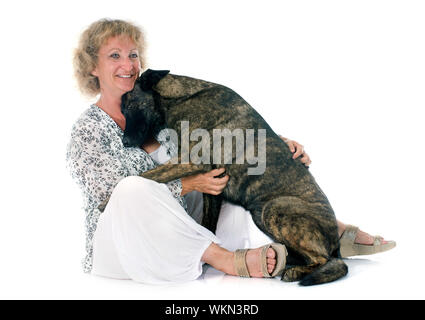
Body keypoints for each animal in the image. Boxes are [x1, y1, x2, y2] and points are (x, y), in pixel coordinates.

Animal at [99, 69, 348, 284]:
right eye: (122, 109)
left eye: (131, 105)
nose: (125, 142)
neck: (181, 98)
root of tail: (336, 243)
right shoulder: (213, 188)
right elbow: (208, 228)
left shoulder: (190, 161)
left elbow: (146, 175)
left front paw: (105, 202)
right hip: (262, 215)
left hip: (274, 209)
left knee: (327, 260)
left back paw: (296, 271)